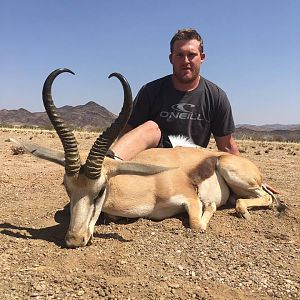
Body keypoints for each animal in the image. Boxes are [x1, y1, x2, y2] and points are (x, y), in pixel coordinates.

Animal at [11, 68, 284, 248]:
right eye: (66, 188)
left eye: (100, 191)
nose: (74, 240)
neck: (150, 186)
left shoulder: (189, 198)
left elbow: (199, 223)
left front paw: (210, 204)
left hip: (231, 169)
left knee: (267, 198)